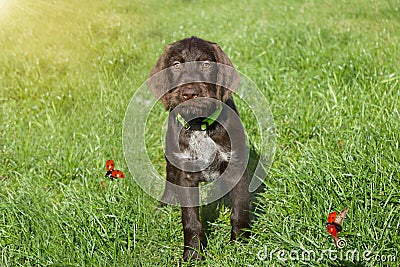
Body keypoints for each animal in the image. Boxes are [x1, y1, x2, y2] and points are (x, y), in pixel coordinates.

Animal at [147, 36, 248, 262]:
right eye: (176, 65)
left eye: (206, 64)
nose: (190, 93)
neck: (200, 125)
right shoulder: (185, 175)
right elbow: (191, 220)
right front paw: (193, 254)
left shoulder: (236, 166)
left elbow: (239, 210)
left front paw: (242, 246)